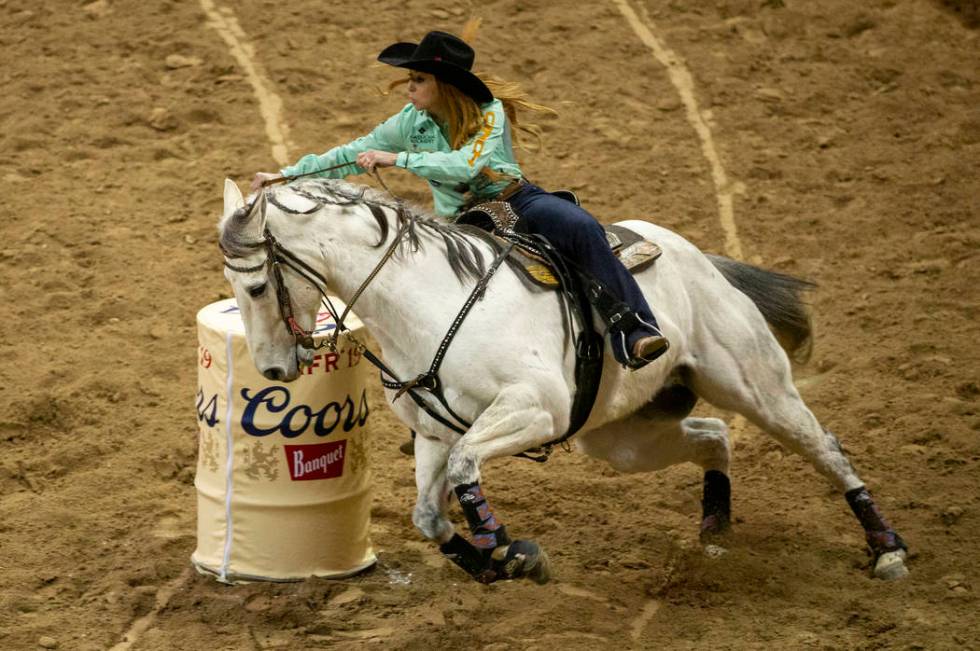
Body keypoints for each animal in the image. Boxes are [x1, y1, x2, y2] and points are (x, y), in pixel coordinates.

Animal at [218, 178, 908, 584]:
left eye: (255, 287)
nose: (274, 369)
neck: (432, 301)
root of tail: (697, 257)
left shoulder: (534, 409)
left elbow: (468, 470)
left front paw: (512, 550)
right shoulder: (434, 435)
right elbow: (428, 516)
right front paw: (488, 563)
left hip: (756, 386)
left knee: (824, 447)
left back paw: (887, 548)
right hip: (625, 438)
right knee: (713, 435)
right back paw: (714, 528)